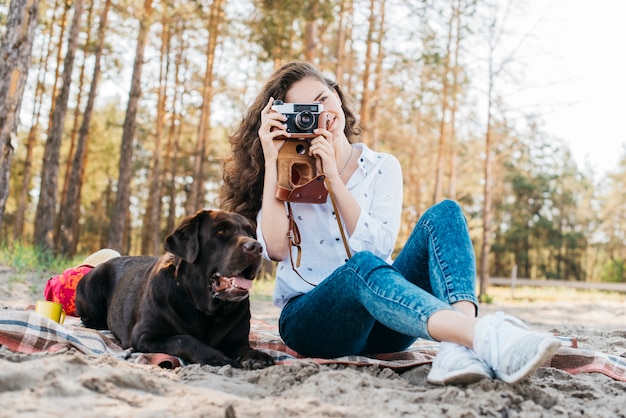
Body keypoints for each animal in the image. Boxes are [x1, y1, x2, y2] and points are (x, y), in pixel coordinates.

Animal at [75, 209, 272, 370]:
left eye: (250, 233)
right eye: (221, 231)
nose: (256, 247)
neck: (205, 311)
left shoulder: (236, 340)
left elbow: (245, 348)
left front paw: (256, 356)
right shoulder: (145, 335)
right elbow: (185, 339)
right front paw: (216, 357)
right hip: (91, 285)